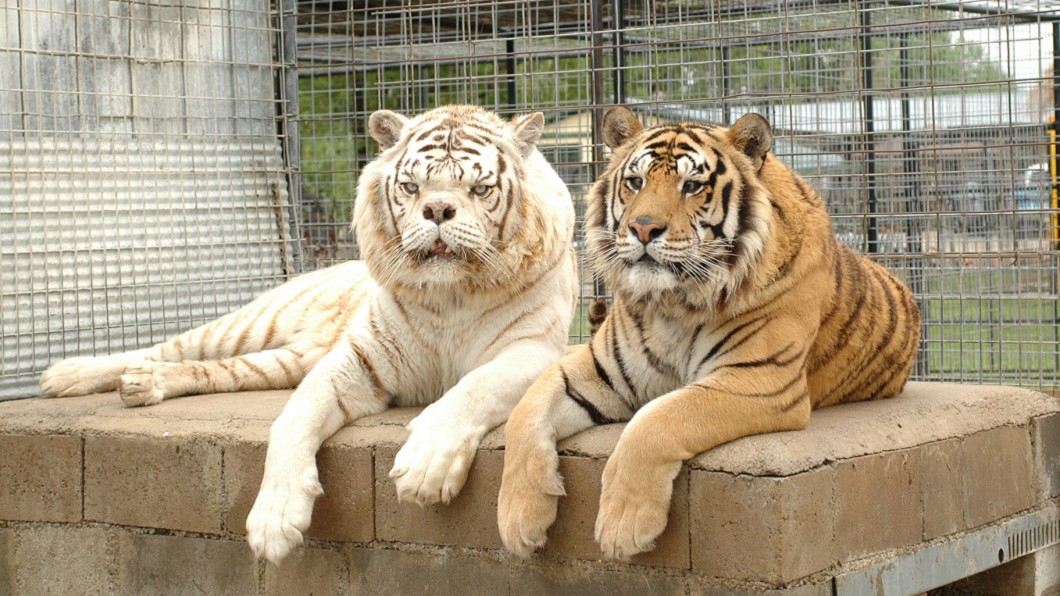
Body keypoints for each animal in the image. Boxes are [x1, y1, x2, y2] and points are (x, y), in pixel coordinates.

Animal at [40, 104, 578, 565]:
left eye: (479, 189)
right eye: (411, 187)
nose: (438, 211)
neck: (451, 297)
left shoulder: (533, 349)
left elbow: (473, 387)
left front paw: (425, 466)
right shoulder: (359, 358)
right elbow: (294, 417)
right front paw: (274, 520)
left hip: (279, 360)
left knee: (208, 370)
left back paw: (140, 384)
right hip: (250, 326)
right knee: (169, 345)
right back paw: (67, 375)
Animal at [497, 107, 921, 560]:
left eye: (692, 186)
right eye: (636, 182)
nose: (643, 229)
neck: (672, 304)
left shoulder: (759, 379)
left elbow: (658, 418)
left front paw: (623, 526)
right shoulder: (599, 367)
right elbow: (527, 410)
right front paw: (518, 521)